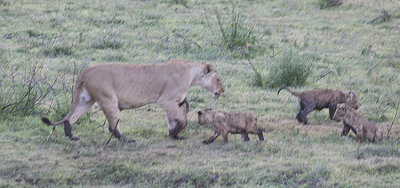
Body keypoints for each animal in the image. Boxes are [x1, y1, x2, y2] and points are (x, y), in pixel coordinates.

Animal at [43, 59, 227, 142]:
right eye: (218, 79)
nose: (223, 90)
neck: (192, 75)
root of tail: (85, 71)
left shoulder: (174, 102)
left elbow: (172, 121)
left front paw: (174, 135)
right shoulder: (166, 101)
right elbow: (181, 121)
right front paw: (174, 133)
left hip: (86, 99)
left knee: (70, 118)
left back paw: (71, 137)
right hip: (108, 98)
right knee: (112, 124)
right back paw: (125, 139)